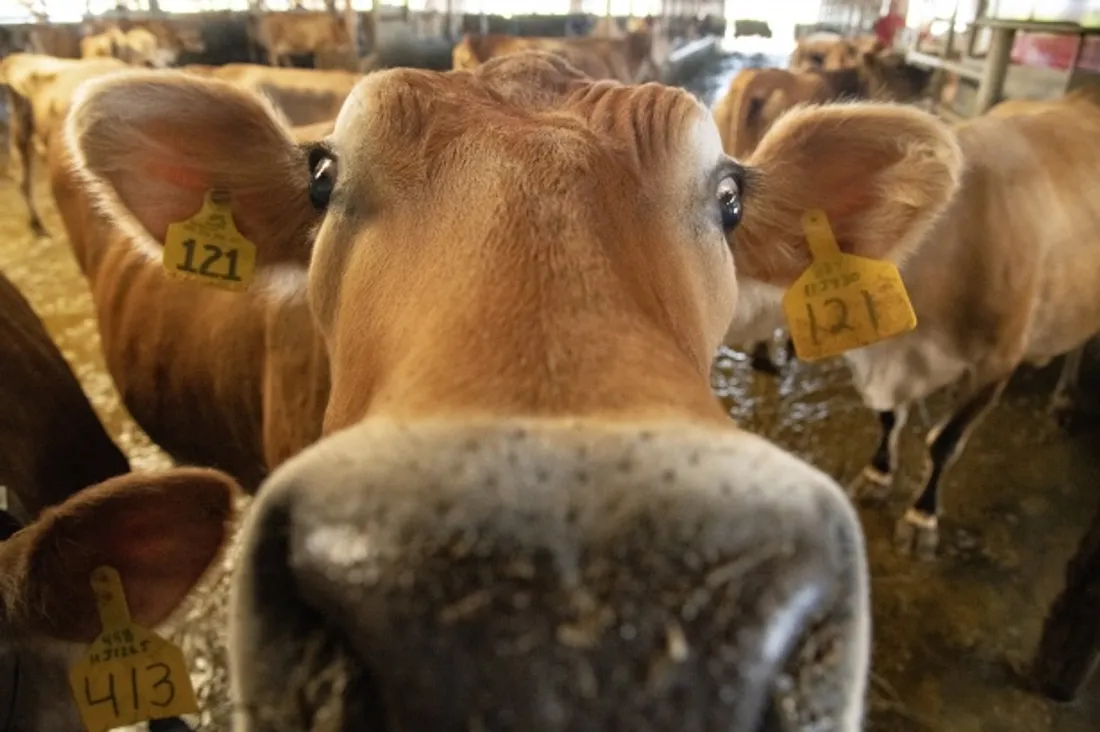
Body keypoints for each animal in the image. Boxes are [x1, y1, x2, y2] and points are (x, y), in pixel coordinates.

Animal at [725, 89, 1100, 560]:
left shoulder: (998, 361)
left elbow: (945, 442)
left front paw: (922, 517)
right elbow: (888, 418)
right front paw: (877, 474)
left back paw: (1064, 398)